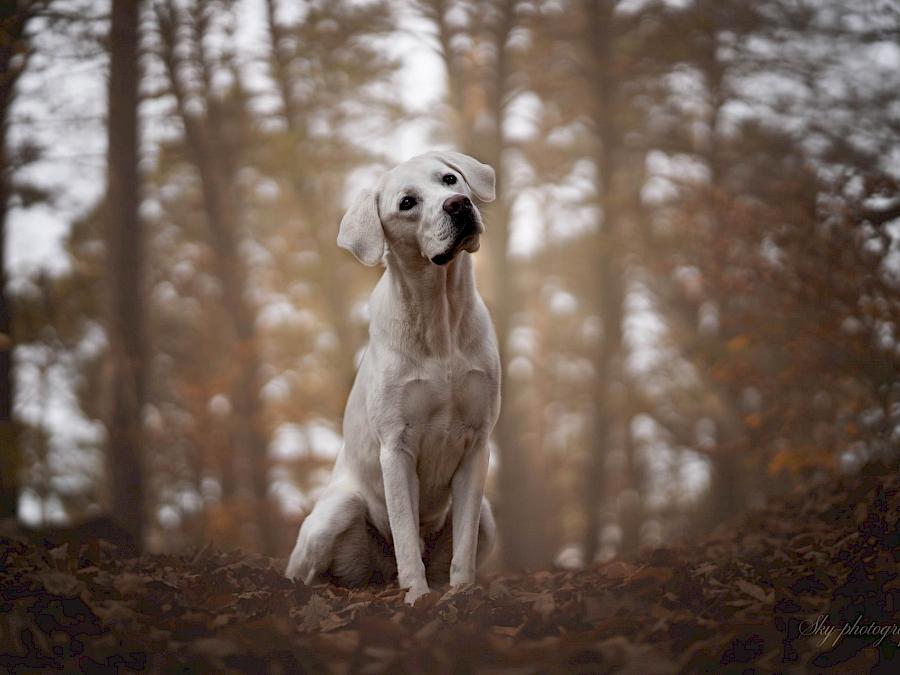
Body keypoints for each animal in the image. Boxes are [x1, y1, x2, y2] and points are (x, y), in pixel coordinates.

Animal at [286, 151, 502, 604]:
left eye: (449, 179)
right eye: (407, 203)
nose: (459, 204)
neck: (440, 317)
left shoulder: (477, 444)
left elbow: (464, 546)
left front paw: (462, 594)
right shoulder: (396, 447)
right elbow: (405, 538)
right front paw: (418, 598)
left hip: (489, 519)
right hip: (336, 512)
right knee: (307, 572)